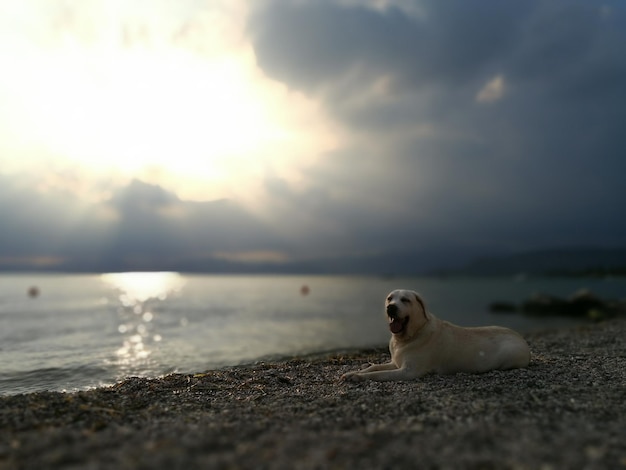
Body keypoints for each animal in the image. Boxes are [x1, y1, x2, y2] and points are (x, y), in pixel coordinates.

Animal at [342, 286, 528, 382]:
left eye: (405, 300)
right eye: (390, 298)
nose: (391, 307)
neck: (407, 337)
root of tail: (522, 339)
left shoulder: (408, 371)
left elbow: (378, 374)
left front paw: (357, 377)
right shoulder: (395, 362)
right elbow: (374, 367)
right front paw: (352, 373)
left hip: (509, 355)